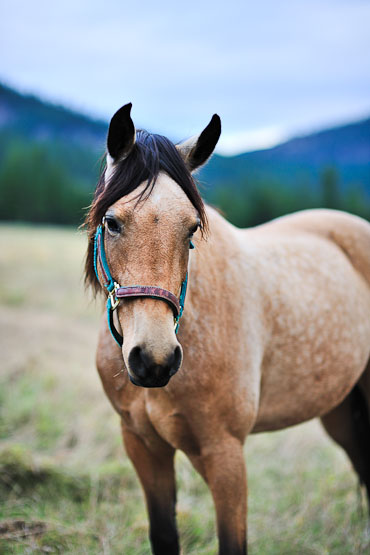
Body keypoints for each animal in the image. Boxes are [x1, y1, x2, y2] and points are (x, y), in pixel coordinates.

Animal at [85, 103, 370, 552]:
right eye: (112, 222)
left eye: (191, 230)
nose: (154, 359)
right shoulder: (143, 446)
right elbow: (164, 535)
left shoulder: (225, 454)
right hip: (340, 410)